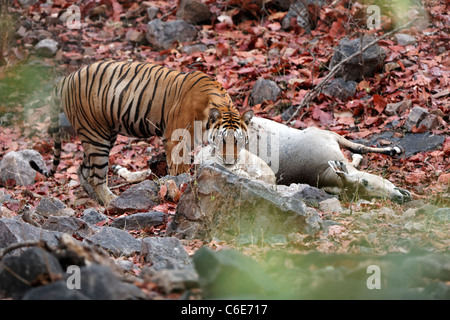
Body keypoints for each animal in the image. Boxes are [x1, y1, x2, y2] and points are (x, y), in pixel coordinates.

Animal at [32, 60, 253, 205]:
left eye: (238, 141)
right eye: (223, 141)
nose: (230, 161)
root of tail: (66, 78)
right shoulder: (176, 139)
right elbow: (179, 170)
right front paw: (180, 191)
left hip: (102, 134)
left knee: (83, 169)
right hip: (96, 136)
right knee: (96, 177)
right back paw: (112, 202)